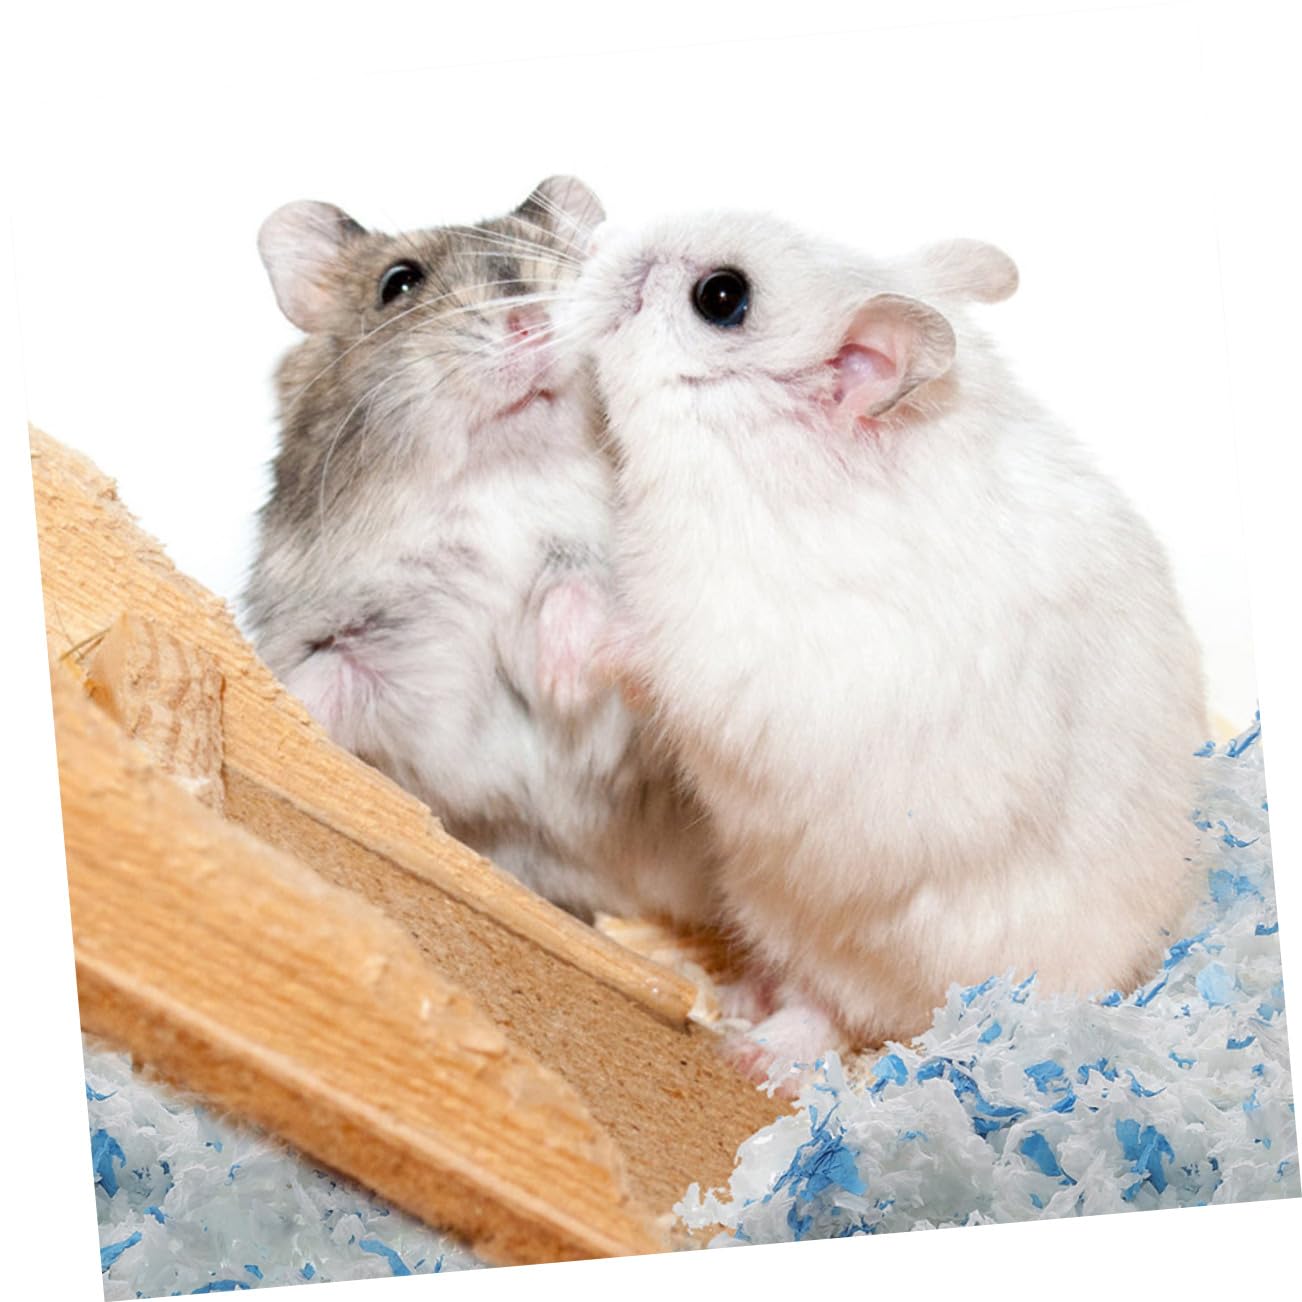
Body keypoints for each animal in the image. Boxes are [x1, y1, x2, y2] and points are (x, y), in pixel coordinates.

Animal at [243, 177, 714, 926]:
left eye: (568, 264)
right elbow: (325, 679)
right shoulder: (361, 636)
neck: (500, 483)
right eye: (398, 283)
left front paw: (562, 678)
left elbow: (582, 587)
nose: (532, 320)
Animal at [570, 212, 1208, 1077]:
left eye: (721, 297)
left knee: (828, 1012)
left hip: (853, 939)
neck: (757, 458)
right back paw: (737, 996)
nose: (594, 240)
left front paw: (562, 623)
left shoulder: (733, 649)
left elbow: (642, 647)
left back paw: (753, 1054)